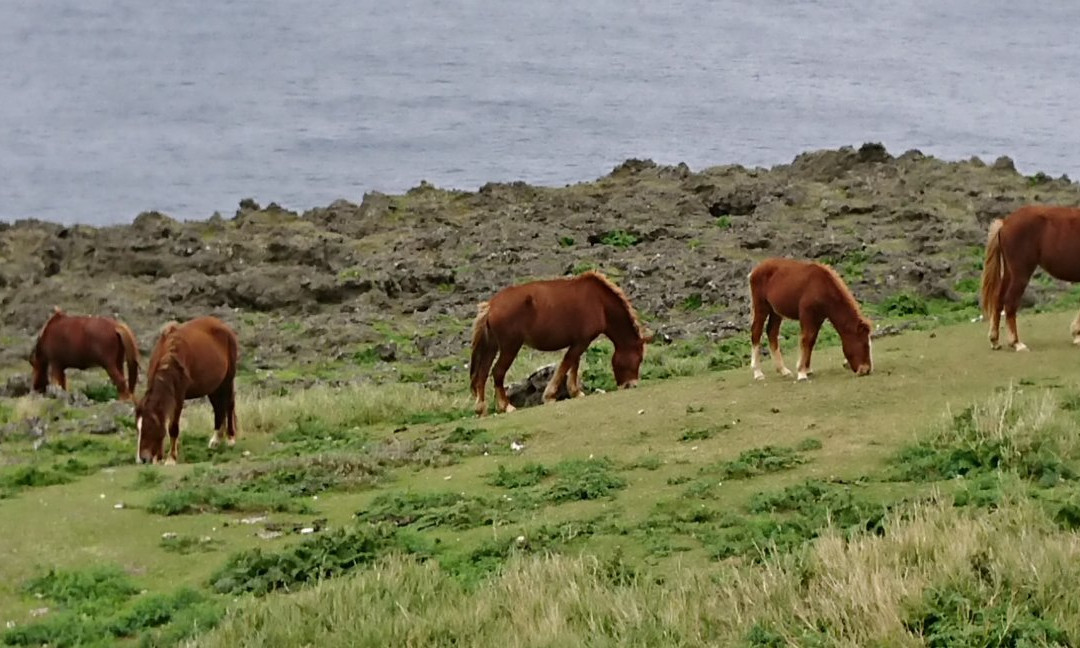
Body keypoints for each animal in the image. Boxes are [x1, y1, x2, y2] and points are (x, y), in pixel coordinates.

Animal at [134, 315, 238, 462]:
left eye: (150, 427)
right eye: (138, 430)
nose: (142, 459)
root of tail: (222, 325)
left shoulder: (178, 396)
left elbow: (173, 427)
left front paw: (171, 458)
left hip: (227, 380)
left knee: (229, 405)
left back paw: (230, 439)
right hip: (213, 386)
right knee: (219, 408)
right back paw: (216, 440)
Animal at [468, 271, 652, 416]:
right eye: (638, 358)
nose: (632, 385)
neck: (600, 302)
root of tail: (491, 306)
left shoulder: (578, 341)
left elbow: (573, 365)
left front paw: (575, 392)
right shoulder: (582, 341)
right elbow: (567, 364)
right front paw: (550, 395)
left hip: (492, 347)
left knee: (482, 374)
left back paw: (481, 409)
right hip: (510, 347)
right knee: (497, 372)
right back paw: (506, 406)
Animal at [976, 205, 1080, 352]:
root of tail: (1005, 223)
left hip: (1010, 274)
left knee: (998, 301)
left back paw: (995, 340)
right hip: (1021, 275)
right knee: (1010, 303)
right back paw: (1016, 343)